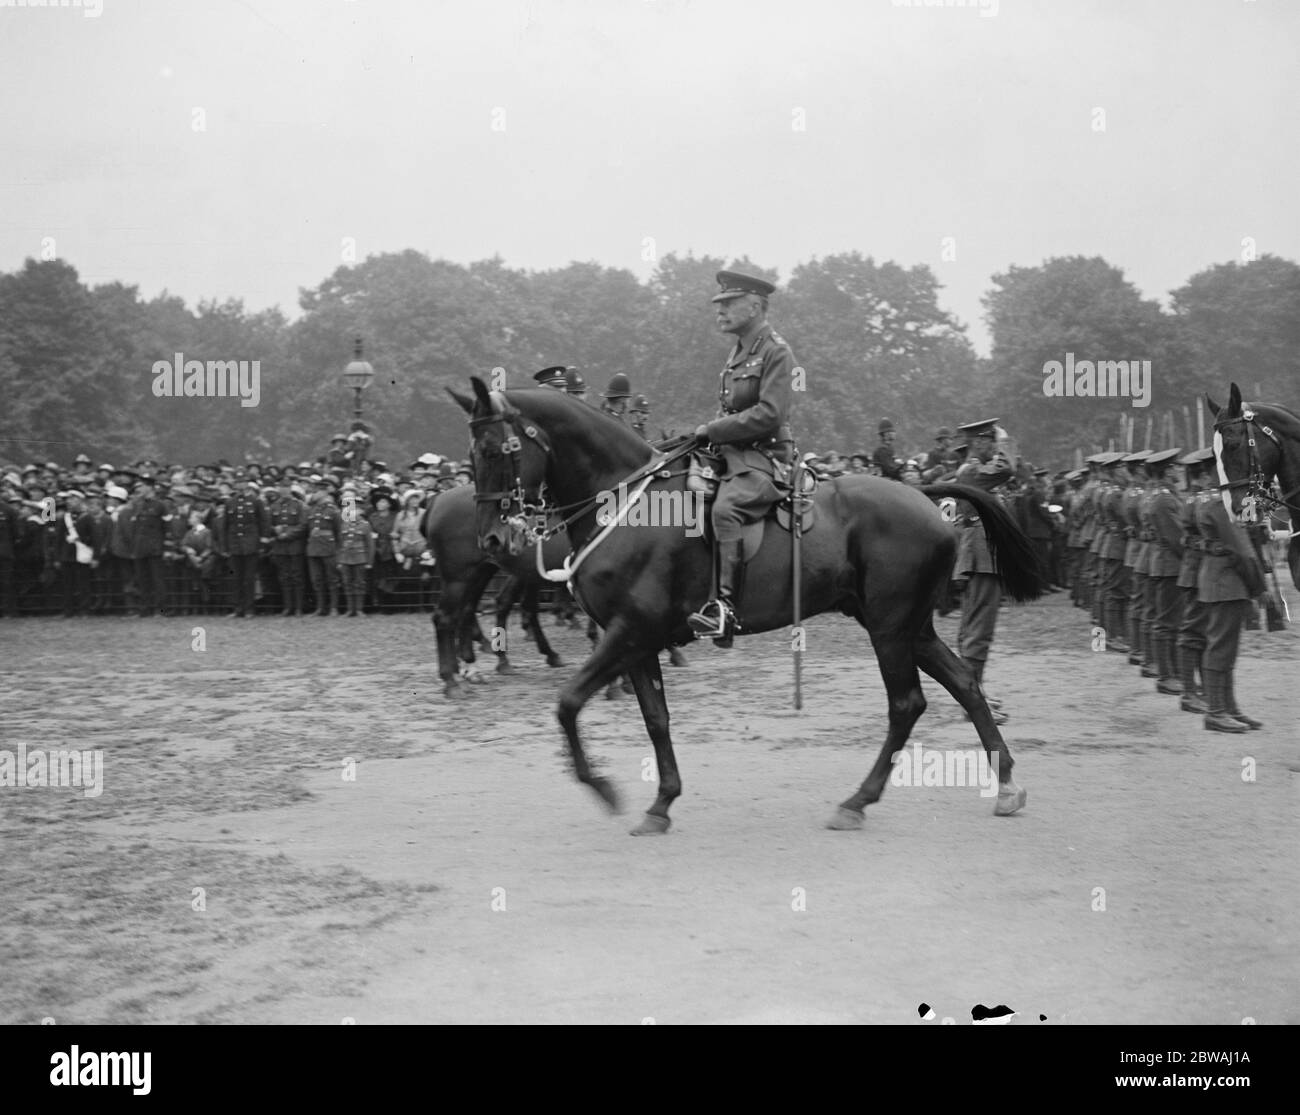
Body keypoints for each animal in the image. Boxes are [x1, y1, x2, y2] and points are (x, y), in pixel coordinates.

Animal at [452, 376, 1040, 831]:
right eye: (471, 456)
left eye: (497, 451)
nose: (492, 541)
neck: (625, 501)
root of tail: (925, 495)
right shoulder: (638, 640)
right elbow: (655, 719)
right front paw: (661, 802)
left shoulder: (630, 630)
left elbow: (569, 702)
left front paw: (601, 786)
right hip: (907, 626)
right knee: (964, 683)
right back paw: (1006, 782)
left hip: (891, 628)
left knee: (907, 704)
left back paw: (858, 800)